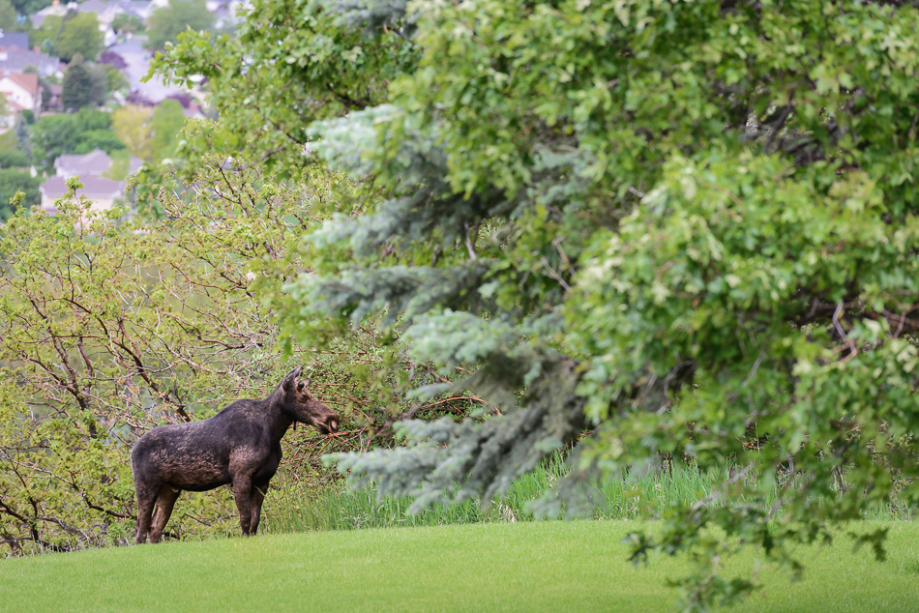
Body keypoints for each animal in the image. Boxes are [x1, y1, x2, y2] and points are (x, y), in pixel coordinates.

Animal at [131, 367, 339, 543]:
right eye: (303, 396)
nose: (332, 419)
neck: (272, 431)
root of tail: (133, 449)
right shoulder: (241, 474)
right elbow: (245, 518)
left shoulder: (263, 480)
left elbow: (255, 520)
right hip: (146, 486)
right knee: (140, 529)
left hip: (170, 489)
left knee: (155, 528)